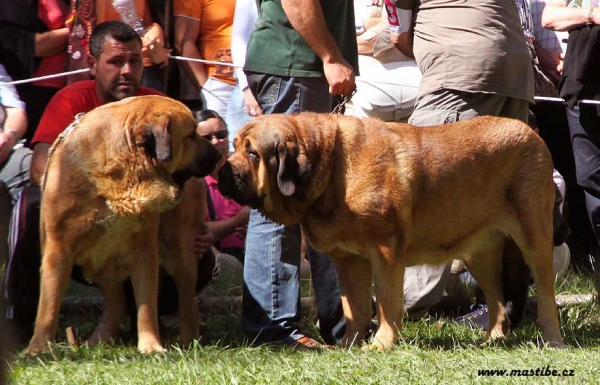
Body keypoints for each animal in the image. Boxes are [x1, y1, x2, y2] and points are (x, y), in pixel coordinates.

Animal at [26, 95, 223, 354]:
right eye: (190, 135)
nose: (218, 155)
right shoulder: (57, 251)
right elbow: (48, 305)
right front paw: (38, 349)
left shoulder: (144, 252)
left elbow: (146, 305)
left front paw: (151, 347)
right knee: (116, 303)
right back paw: (98, 341)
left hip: (179, 251)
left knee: (187, 301)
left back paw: (188, 339)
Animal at [218, 112, 564, 352]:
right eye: (233, 147)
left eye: (253, 153)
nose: (222, 171)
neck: (331, 168)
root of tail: (533, 133)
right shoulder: (348, 260)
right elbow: (355, 307)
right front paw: (349, 345)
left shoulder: (384, 252)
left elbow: (385, 301)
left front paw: (381, 344)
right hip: (480, 253)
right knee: (496, 298)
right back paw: (491, 340)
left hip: (534, 237)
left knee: (546, 293)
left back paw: (553, 341)